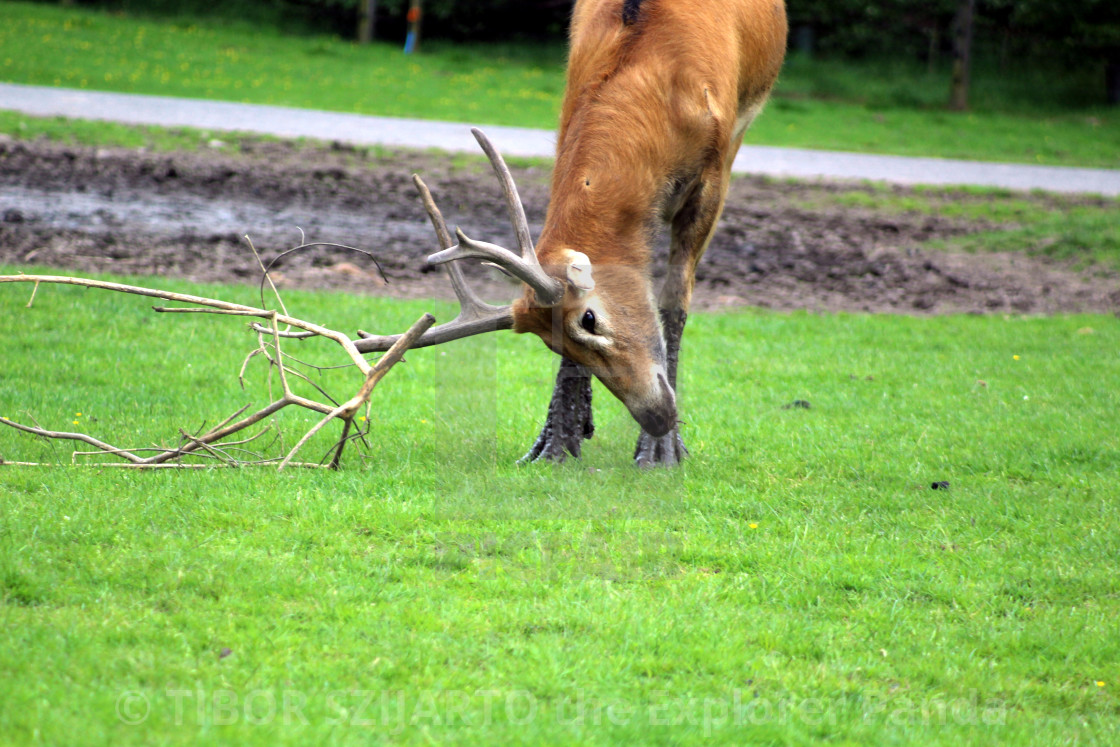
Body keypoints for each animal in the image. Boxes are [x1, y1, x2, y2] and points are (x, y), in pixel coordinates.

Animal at [356, 0, 788, 468]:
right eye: (555, 345)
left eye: (589, 318)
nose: (657, 417)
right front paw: (555, 442)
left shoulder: (716, 169)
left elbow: (675, 303)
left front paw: (661, 451)